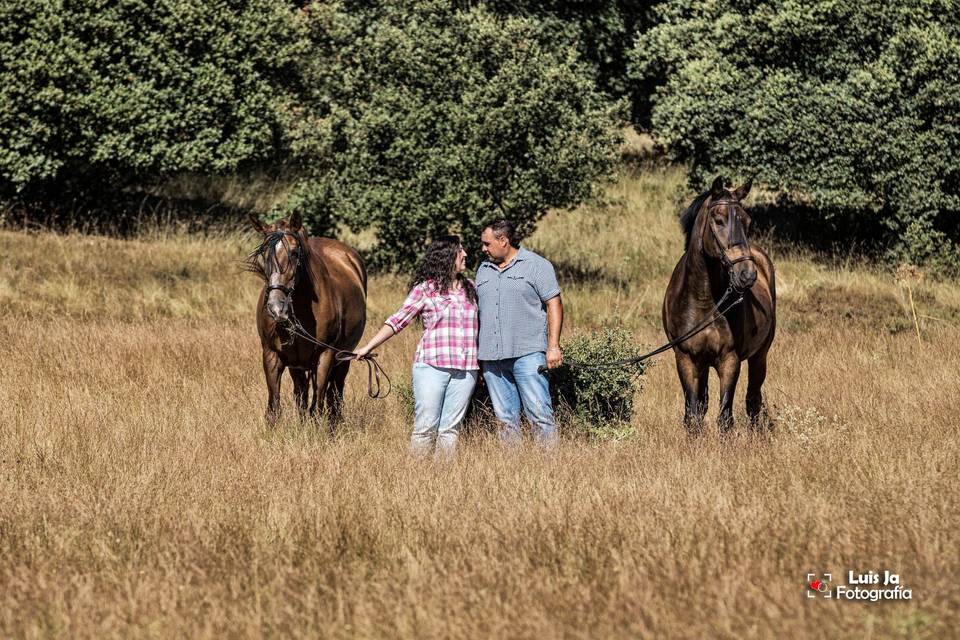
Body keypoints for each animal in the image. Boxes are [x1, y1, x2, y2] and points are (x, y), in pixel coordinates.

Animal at [248, 212, 368, 428]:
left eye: (295, 252)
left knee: (334, 393)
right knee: (302, 394)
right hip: (297, 365)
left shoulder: (325, 355)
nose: (276, 307)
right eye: (264, 255)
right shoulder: (272, 354)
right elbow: (274, 407)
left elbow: (317, 405)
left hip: (343, 357)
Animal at [664, 176, 776, 436]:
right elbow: (693, 413)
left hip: (760, 355)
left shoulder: (729, 359)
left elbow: (725, 416)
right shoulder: (685, 358)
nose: (747, 274)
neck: (703, 301)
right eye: (719, 220)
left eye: (747, 221)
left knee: (753, 399)